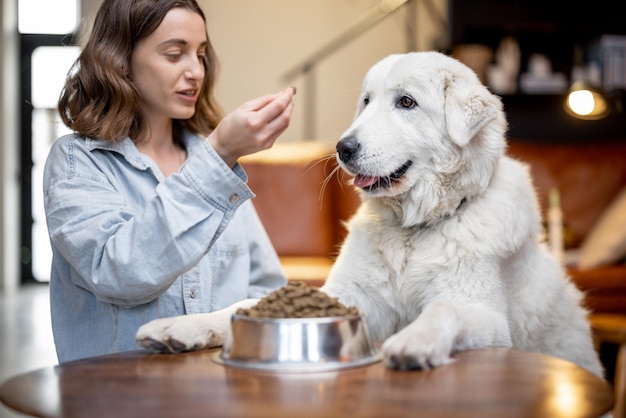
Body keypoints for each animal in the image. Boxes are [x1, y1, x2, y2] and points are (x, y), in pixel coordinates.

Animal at [135, 52, 600, 378]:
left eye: (407, 102)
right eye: (366, 101)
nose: (343, 148)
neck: (413, 230)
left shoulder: (484, 315)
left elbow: (442, 311)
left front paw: (414, 342)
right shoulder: (349, 299)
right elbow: (243, 304)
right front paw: (181, 328)